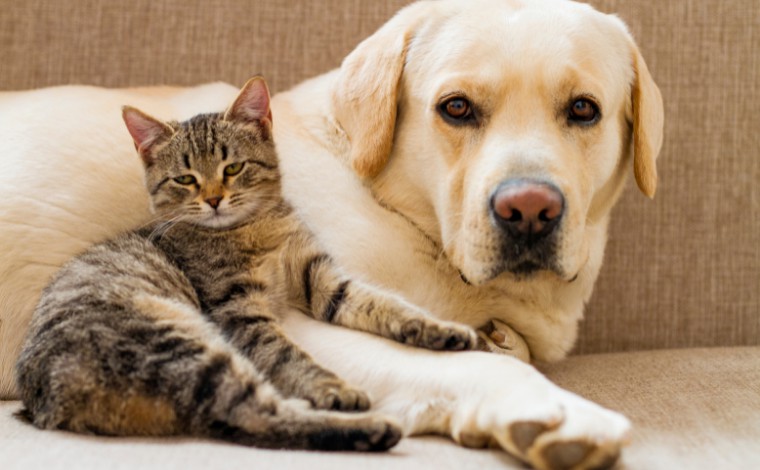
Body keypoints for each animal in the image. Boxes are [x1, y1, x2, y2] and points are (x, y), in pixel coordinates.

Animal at [14, 77, 476, 452]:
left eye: (233, 167)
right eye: (185, 179)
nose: (215, 199)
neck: (255, 230)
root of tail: (44, 400)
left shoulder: (322, 278)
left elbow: (383, 304)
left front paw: (442, 330)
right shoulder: (239, 311)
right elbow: (289, 355)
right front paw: (328, 385)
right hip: (186, 344)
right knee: (254, 415)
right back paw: (370, 428)